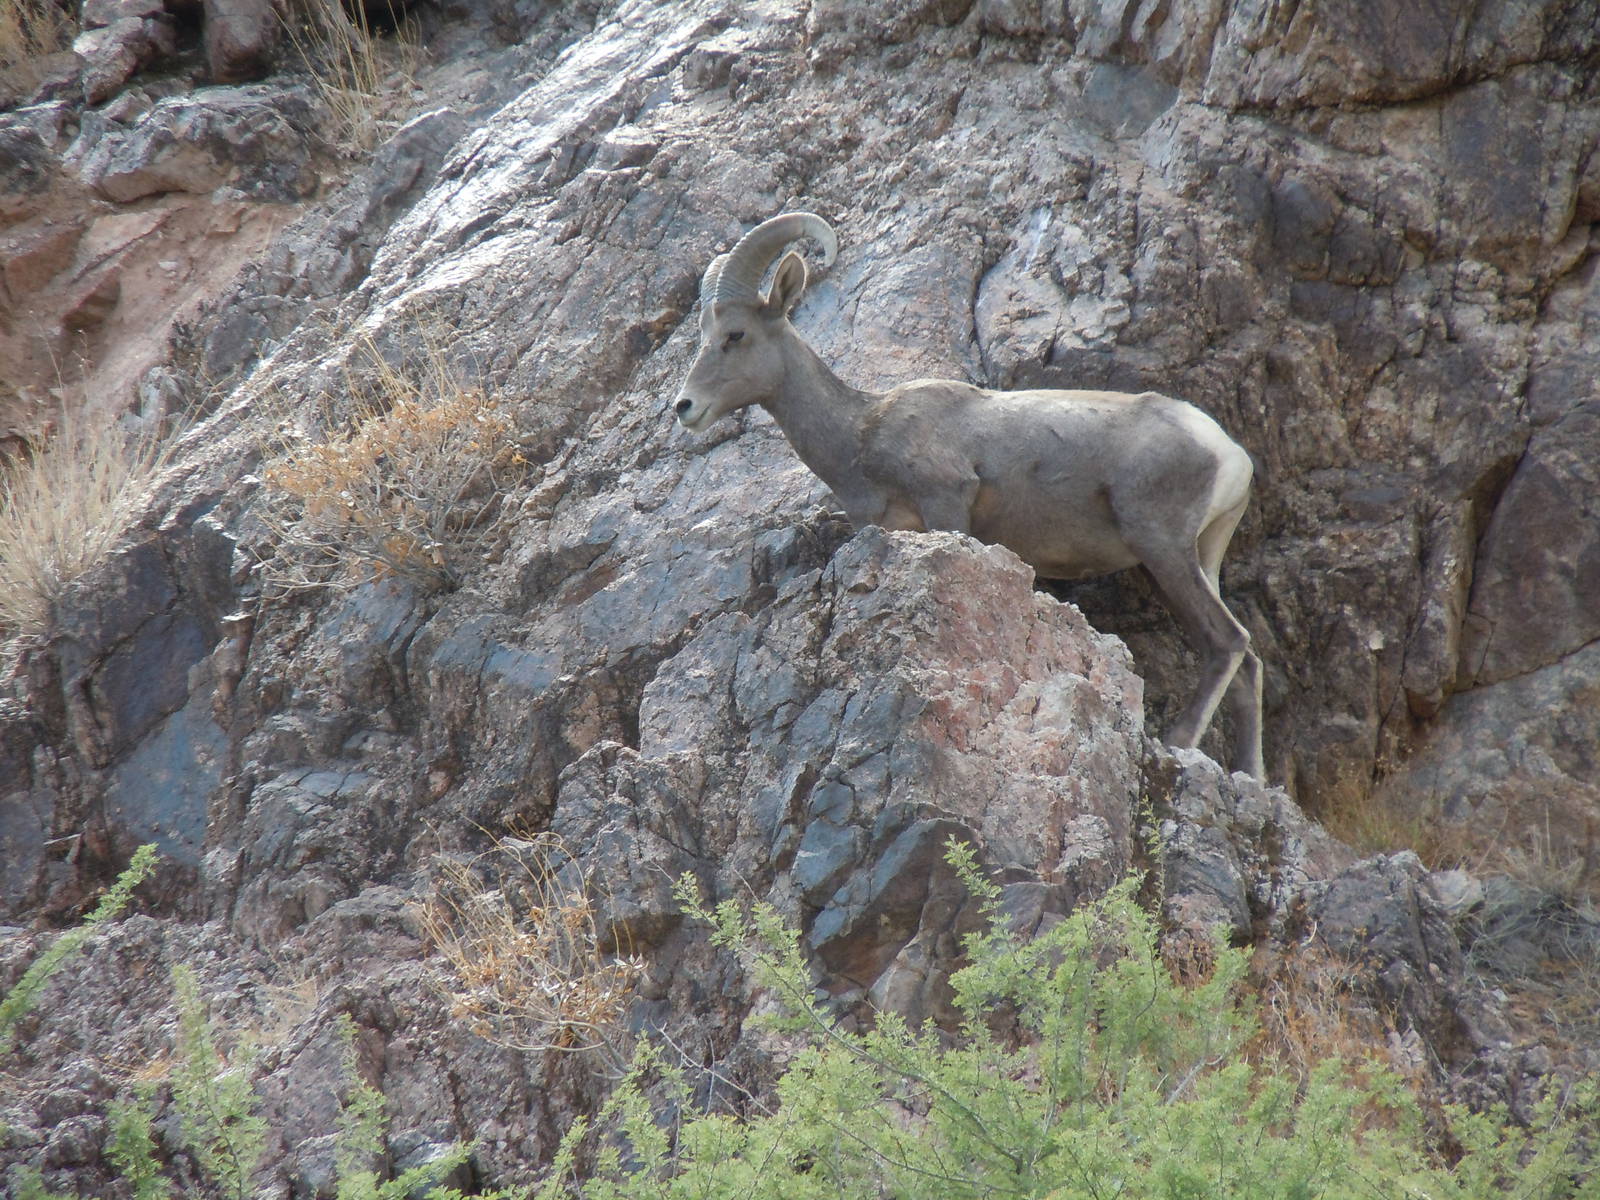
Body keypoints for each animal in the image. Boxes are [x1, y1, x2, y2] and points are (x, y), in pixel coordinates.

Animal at [673, 212, 1264, 779]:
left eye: (735, 335)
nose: (684, 407)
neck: (860, 433)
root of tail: (1228, 452)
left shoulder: (948, 505)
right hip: (1199, 556)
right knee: (1247, 662)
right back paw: (1250, 775)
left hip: (1161, 547)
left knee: (1227, 642)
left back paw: (1180, 743)